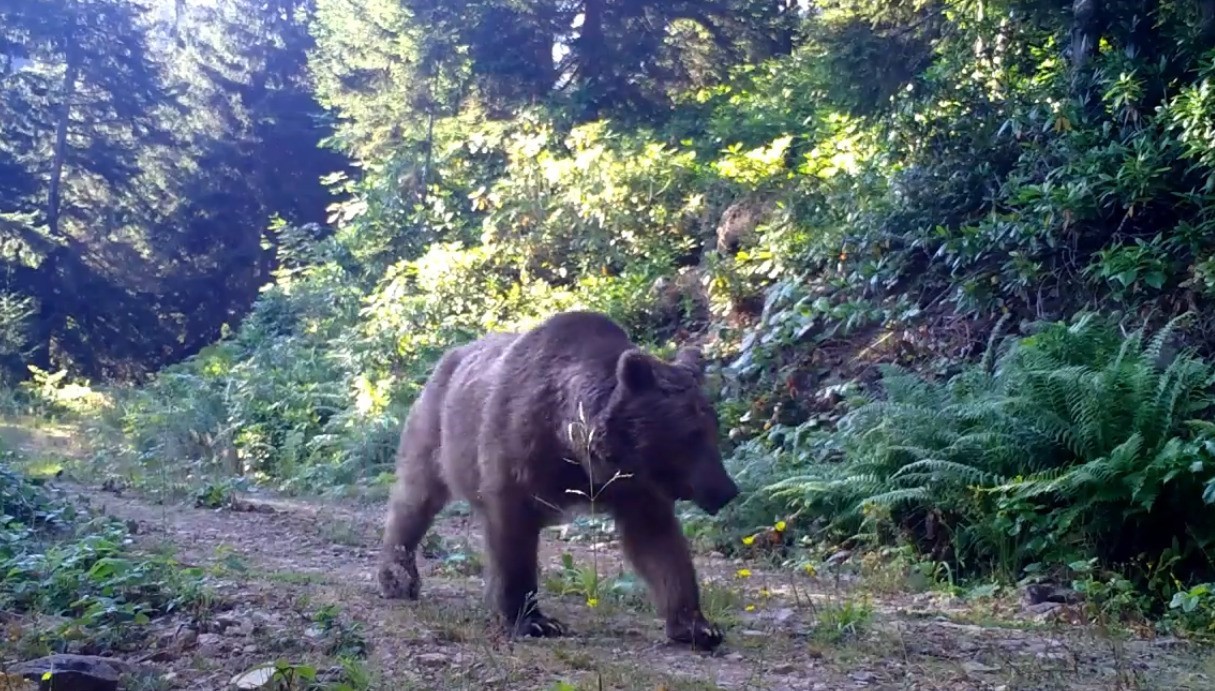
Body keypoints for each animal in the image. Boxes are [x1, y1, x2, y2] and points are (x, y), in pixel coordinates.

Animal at [376, 309, 738, 650]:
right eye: (691, 436)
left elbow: (659, 543)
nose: (727, 490)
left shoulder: (633, 485)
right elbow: (513, 537)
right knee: (416, 496)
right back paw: (398, 577)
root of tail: (448, 357)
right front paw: (532, 620)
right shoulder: (517, 454)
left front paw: (697, 627)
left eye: (712, 428)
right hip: (437, 427)